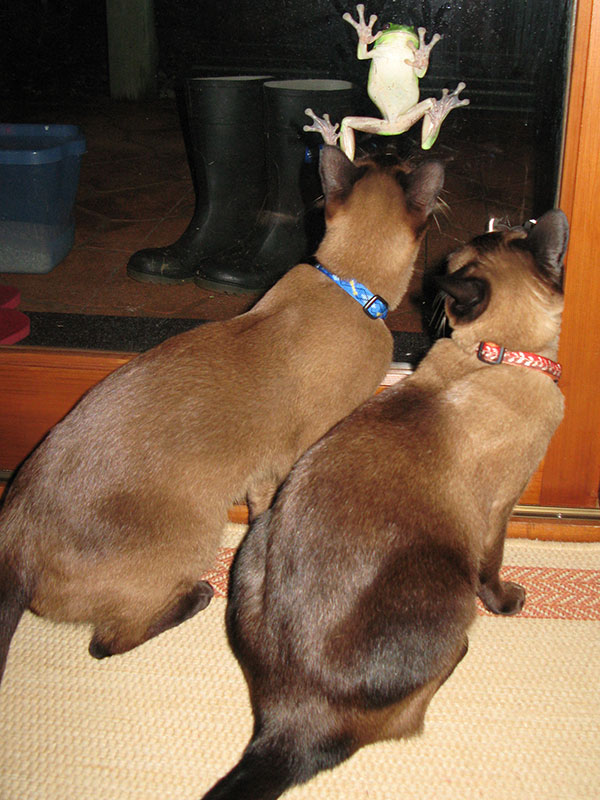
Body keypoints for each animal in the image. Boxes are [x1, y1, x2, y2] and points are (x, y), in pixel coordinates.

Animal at [0, 144, 442, 688]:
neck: (348, 288)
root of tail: (15, 541)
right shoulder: (298, 455)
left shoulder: (263, 476)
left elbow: (261, 514)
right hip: (195, 534)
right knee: (106, 643)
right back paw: (201, 595)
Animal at [205, 211, 568, 800]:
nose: (429, 297)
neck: (490, 357)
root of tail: (286, 726)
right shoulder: (501, 512)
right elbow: (494, 572)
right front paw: (509, 601)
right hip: (447, 587)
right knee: (412, 710)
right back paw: (459, 651)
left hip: (260, 536)